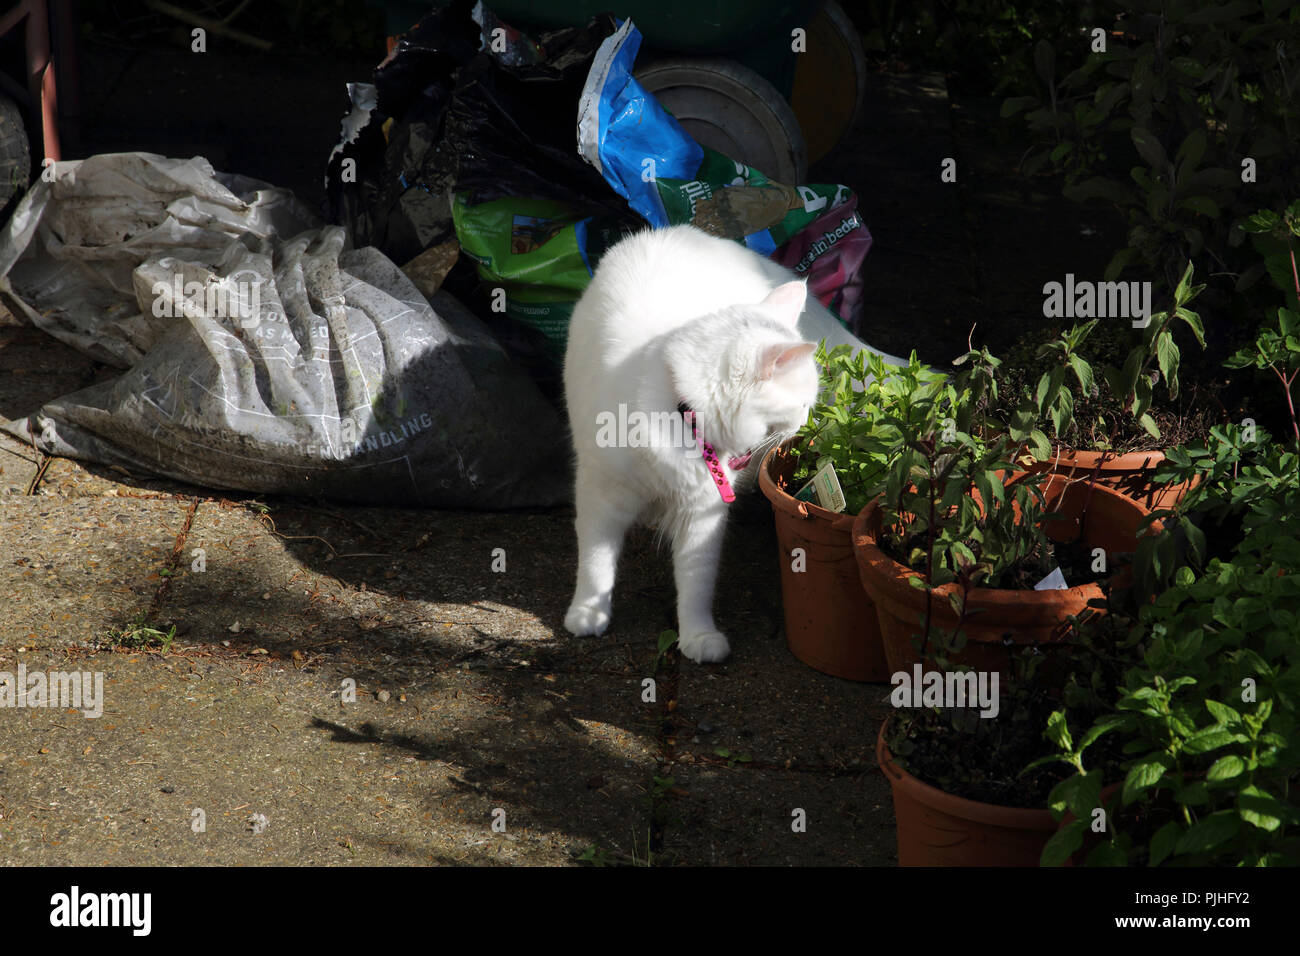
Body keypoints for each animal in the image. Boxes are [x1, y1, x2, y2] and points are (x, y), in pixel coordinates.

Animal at [561, 225, 821, 660]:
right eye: (803, 404)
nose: (805, 424)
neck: (682, 409)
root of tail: (682, 232)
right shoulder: (601, 496)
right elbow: (596, 562)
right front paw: (587, 612)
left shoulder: (703, 513)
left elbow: (696, 582)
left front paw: (698, 636)